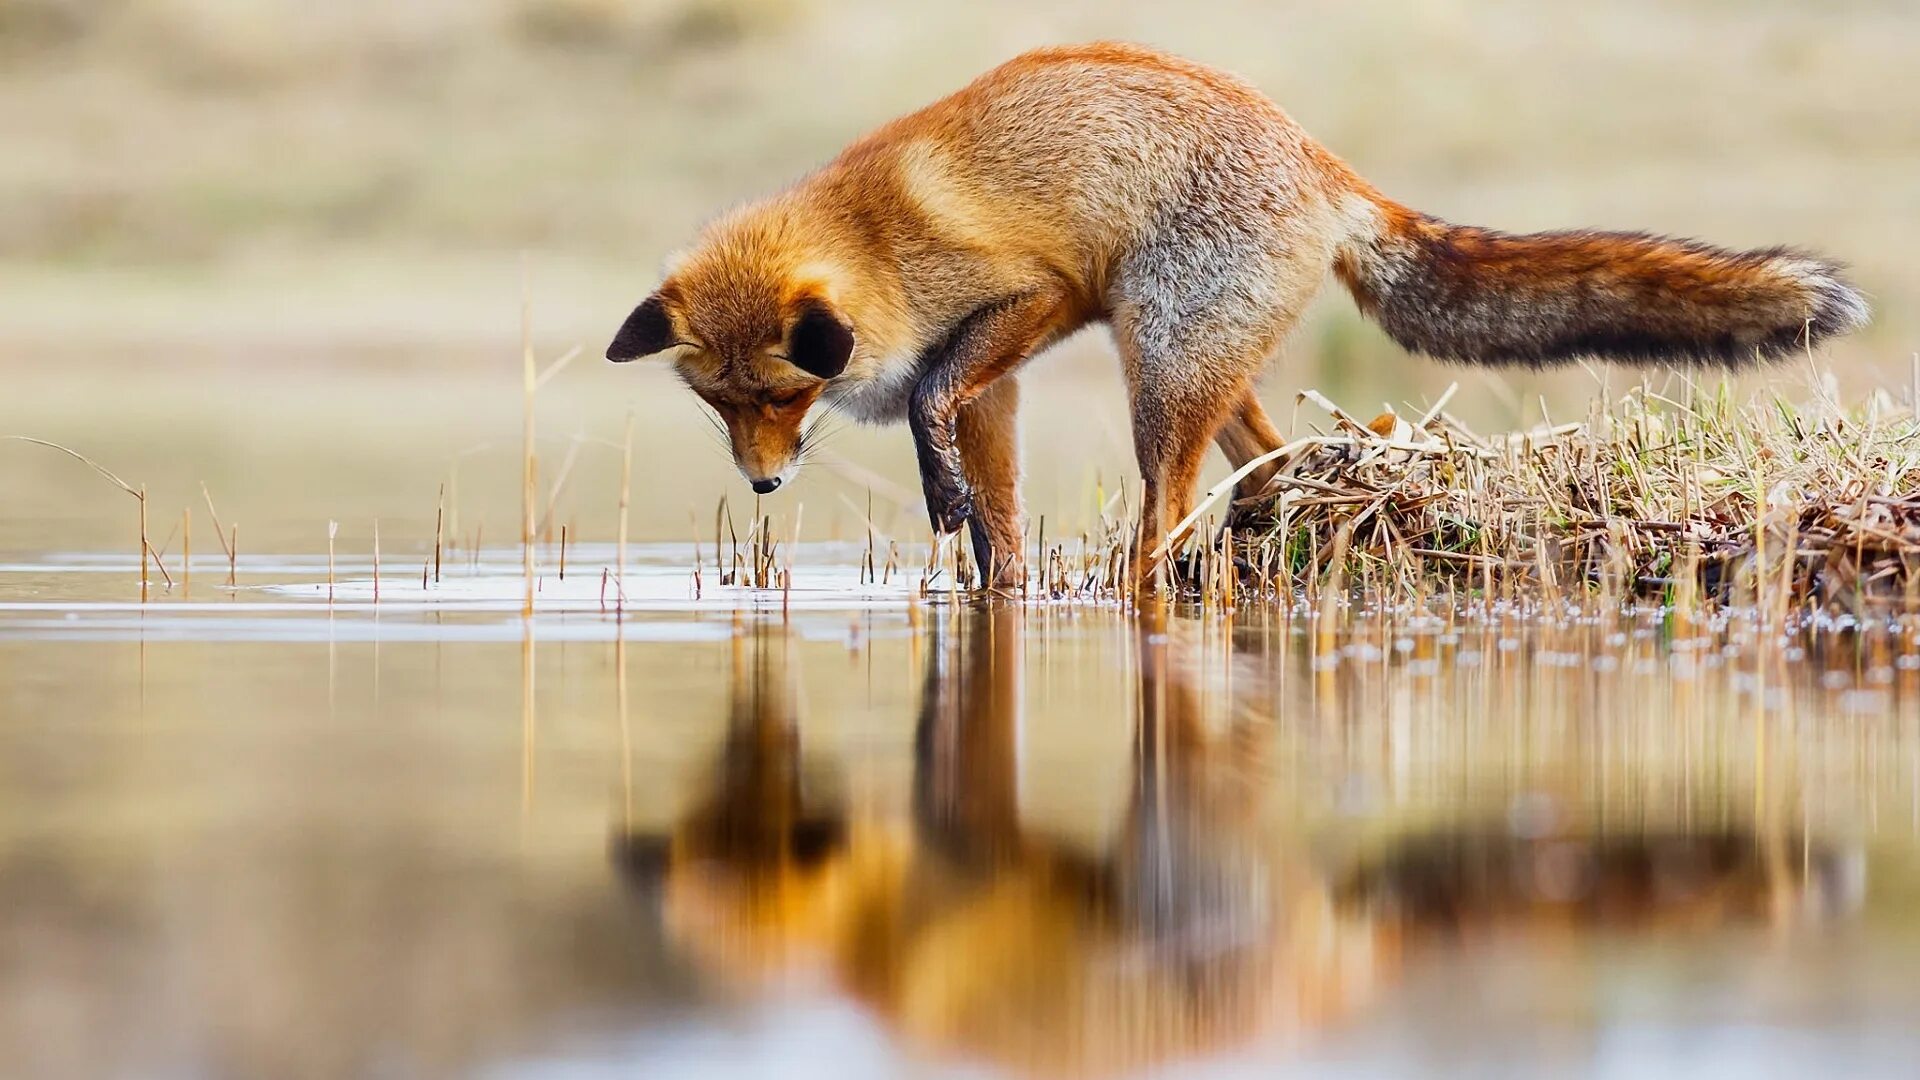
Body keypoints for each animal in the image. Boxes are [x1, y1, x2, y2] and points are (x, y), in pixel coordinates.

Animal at [606, 42, 1866, 584]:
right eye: (719, 405)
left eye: (783, 395)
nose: (763, 489)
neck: (874, 247)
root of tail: (1321, 159)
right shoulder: (995, 391)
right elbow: (998, 529)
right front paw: (993, 584)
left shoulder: (1031, 299)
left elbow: (928, 405)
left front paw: (942, 499)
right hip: (1206, 366)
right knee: (1273, 464)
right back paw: (1287, 504)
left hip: (1154, 361)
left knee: (1162, 519)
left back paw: (1151, 593)